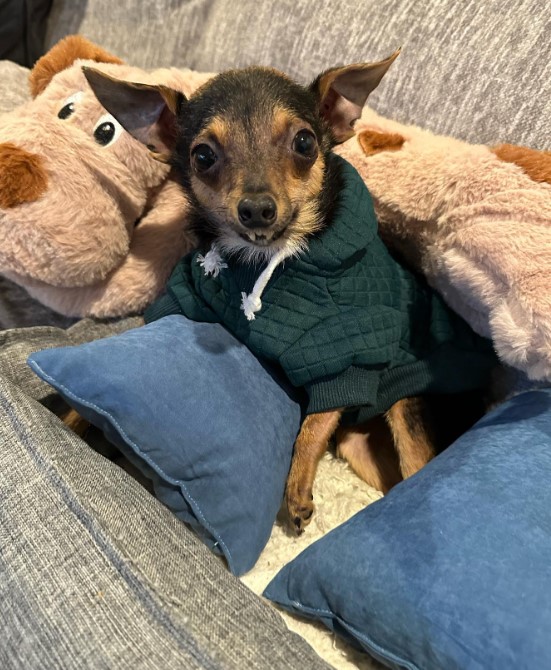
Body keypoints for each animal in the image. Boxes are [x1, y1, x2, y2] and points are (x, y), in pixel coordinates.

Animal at [84, 53, 498, 536]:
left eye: (304, 143)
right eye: (203, 156)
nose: (257, 208)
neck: (264, 260)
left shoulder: (346, 352)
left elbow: (313, 425)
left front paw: (296, 489)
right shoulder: (187, 296)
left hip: (408, 403)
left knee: (415, 463)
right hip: (359, 446)